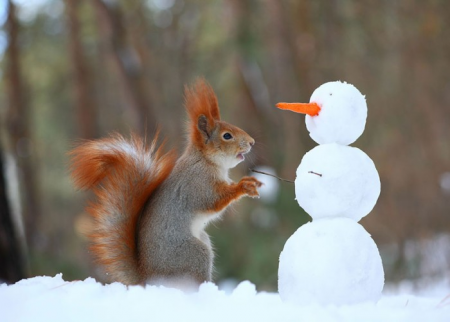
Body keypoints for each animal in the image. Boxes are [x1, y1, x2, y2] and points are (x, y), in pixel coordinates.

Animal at [68, 78, 262, 286]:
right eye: (227, 136)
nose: (252, 142)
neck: (205, 160)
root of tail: (148, 279)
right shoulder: (197, 184)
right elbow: (213, 201)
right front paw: (244, 186)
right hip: (194, 255)